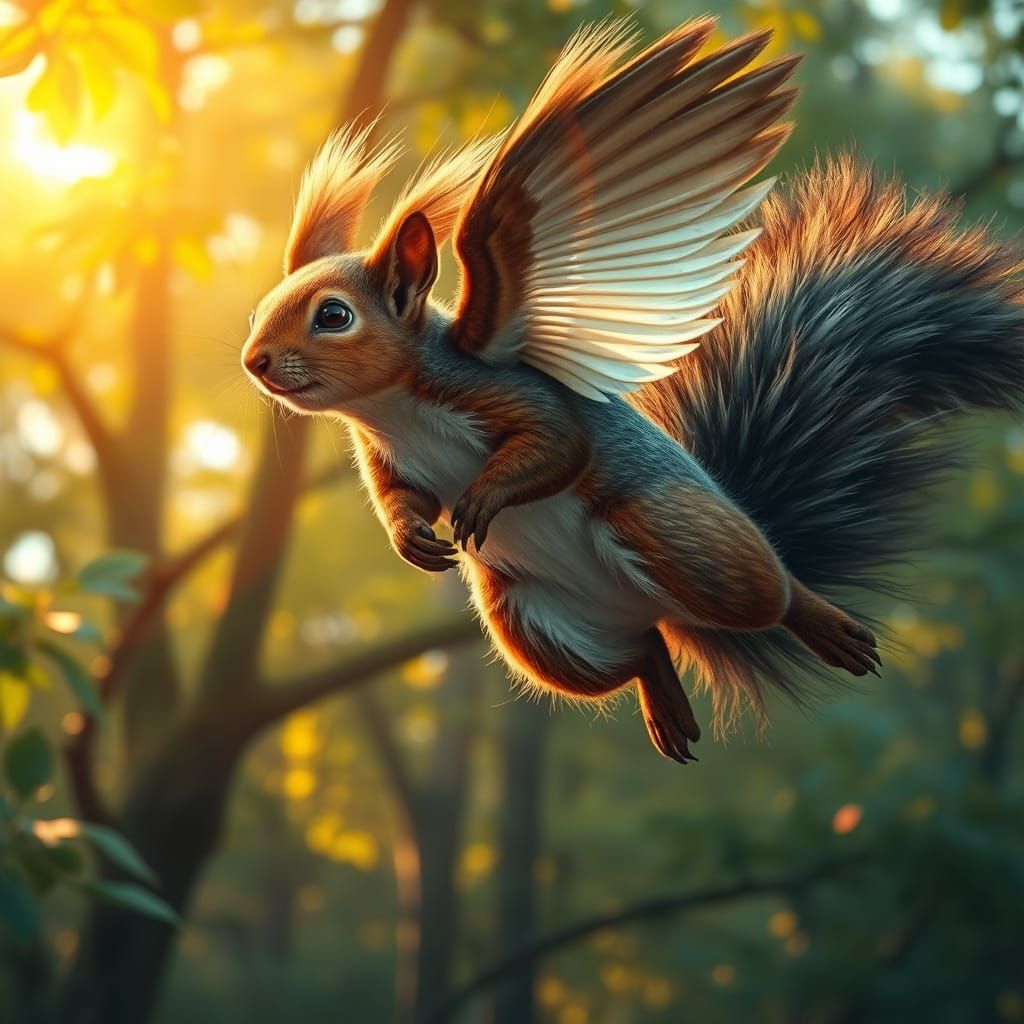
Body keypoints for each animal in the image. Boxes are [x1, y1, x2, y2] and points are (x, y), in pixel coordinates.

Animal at [242, 18, 1024, 763]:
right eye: (259, 309)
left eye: (334, 316)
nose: (255, 361)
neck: (393, 409)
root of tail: (656, 608)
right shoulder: (391, 459)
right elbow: (404, 499)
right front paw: (411, 538)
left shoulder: (503, 390)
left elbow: (557, 444)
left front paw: (484, 497)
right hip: (531, 625)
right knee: (645, 649)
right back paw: (665, 703)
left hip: (678, 537)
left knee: (766, 593)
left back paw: (820, 621)